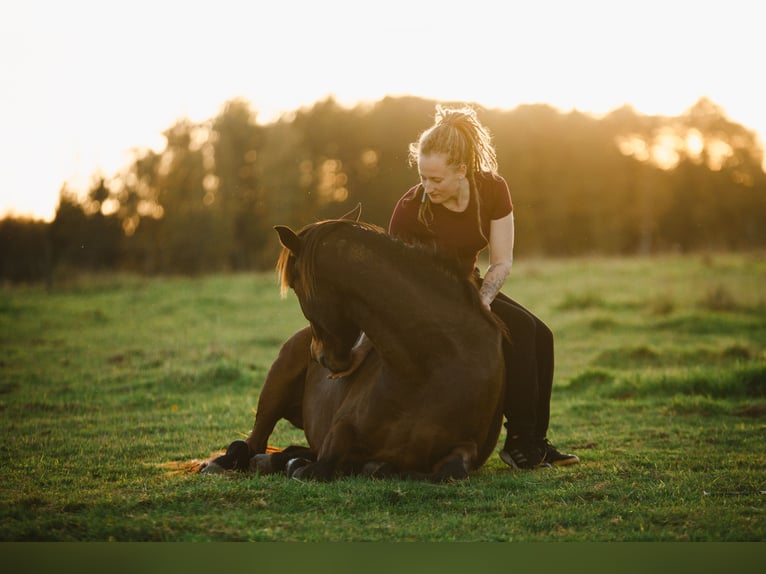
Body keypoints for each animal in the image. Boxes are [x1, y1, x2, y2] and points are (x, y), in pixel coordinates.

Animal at [201, 207, 508, 482]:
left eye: (296, 286)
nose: (320, 356)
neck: (428, 367)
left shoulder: (467, 447)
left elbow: (449, 470)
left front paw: (379, 467)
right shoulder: (339, 430)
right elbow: (319, 466)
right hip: (274, 389)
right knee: (250, 445)